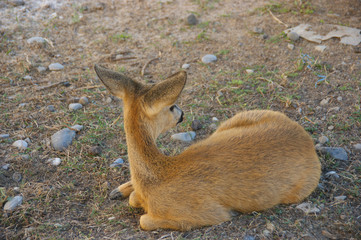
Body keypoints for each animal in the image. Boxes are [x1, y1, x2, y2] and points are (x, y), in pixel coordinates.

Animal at [94, 63, 320, 231]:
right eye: (171, 106)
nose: (182, 114)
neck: (157, 178)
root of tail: (306, 139)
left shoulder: (209, 213)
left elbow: (143, 220)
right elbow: (135, 202)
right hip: (230, 124)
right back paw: (117, 190)